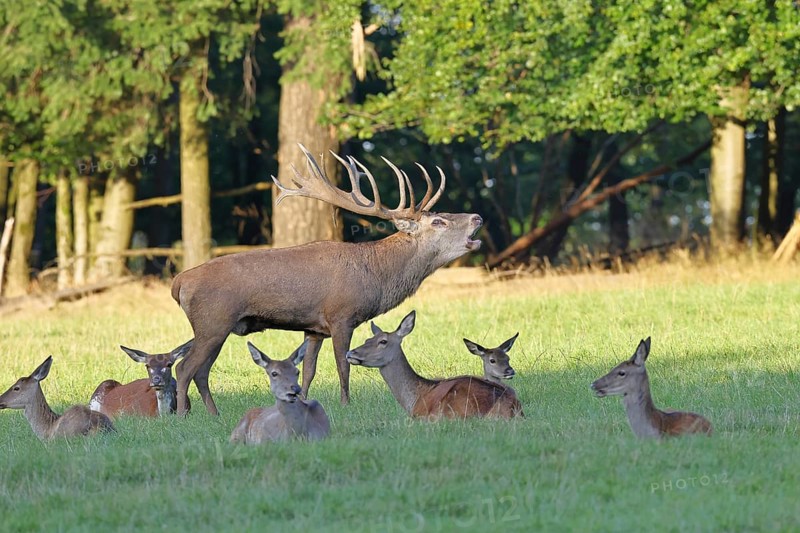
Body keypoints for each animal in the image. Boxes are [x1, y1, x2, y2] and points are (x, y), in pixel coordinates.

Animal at [171, 144, 483, 415]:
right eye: (438, 221)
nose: (477, 217)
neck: (376, 275)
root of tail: (179, 282)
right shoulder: (341, 315)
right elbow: (343, 366)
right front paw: (346, 405)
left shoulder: (314, 328)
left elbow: (308, 370)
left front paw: (303, 401)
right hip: (213, 321)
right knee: (185, 368)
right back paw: (182, 414)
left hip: (217, 327)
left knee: (200, 371)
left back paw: (214, 414)